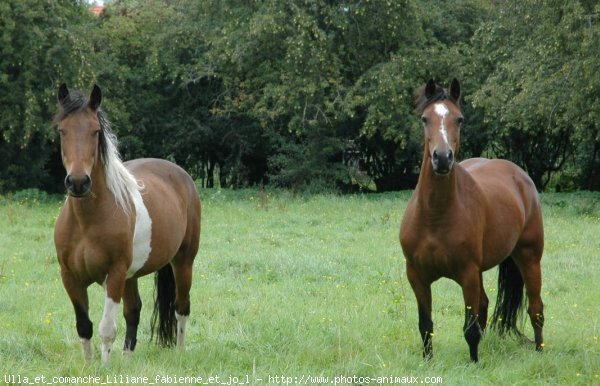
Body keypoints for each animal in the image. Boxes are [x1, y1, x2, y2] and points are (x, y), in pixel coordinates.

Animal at [53, 83, 200, 362]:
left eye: (95, 131)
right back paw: (128, 358)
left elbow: (106, 330)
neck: (87, 222)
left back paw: (179, 352)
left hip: (183, 261)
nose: (78, 182)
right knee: (134, 310)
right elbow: (84, 327)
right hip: (132, 275)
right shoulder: (70, 277)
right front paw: (89, 367)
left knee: (182, 307)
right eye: (62, 130)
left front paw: (104, 367)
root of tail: (180, 174)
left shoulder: (114, 274)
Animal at [400, 78, 548, 362]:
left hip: (529, 257)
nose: (442, 158)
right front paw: (428, 361)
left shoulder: (467, 274)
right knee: (486, 305)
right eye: (425, 119)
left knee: (536, 308)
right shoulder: (416, 276)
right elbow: (426, 325)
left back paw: (539, 351)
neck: (435, 216)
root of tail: (519, 175)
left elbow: (469, 326)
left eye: (459, 119)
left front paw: (474, 363)